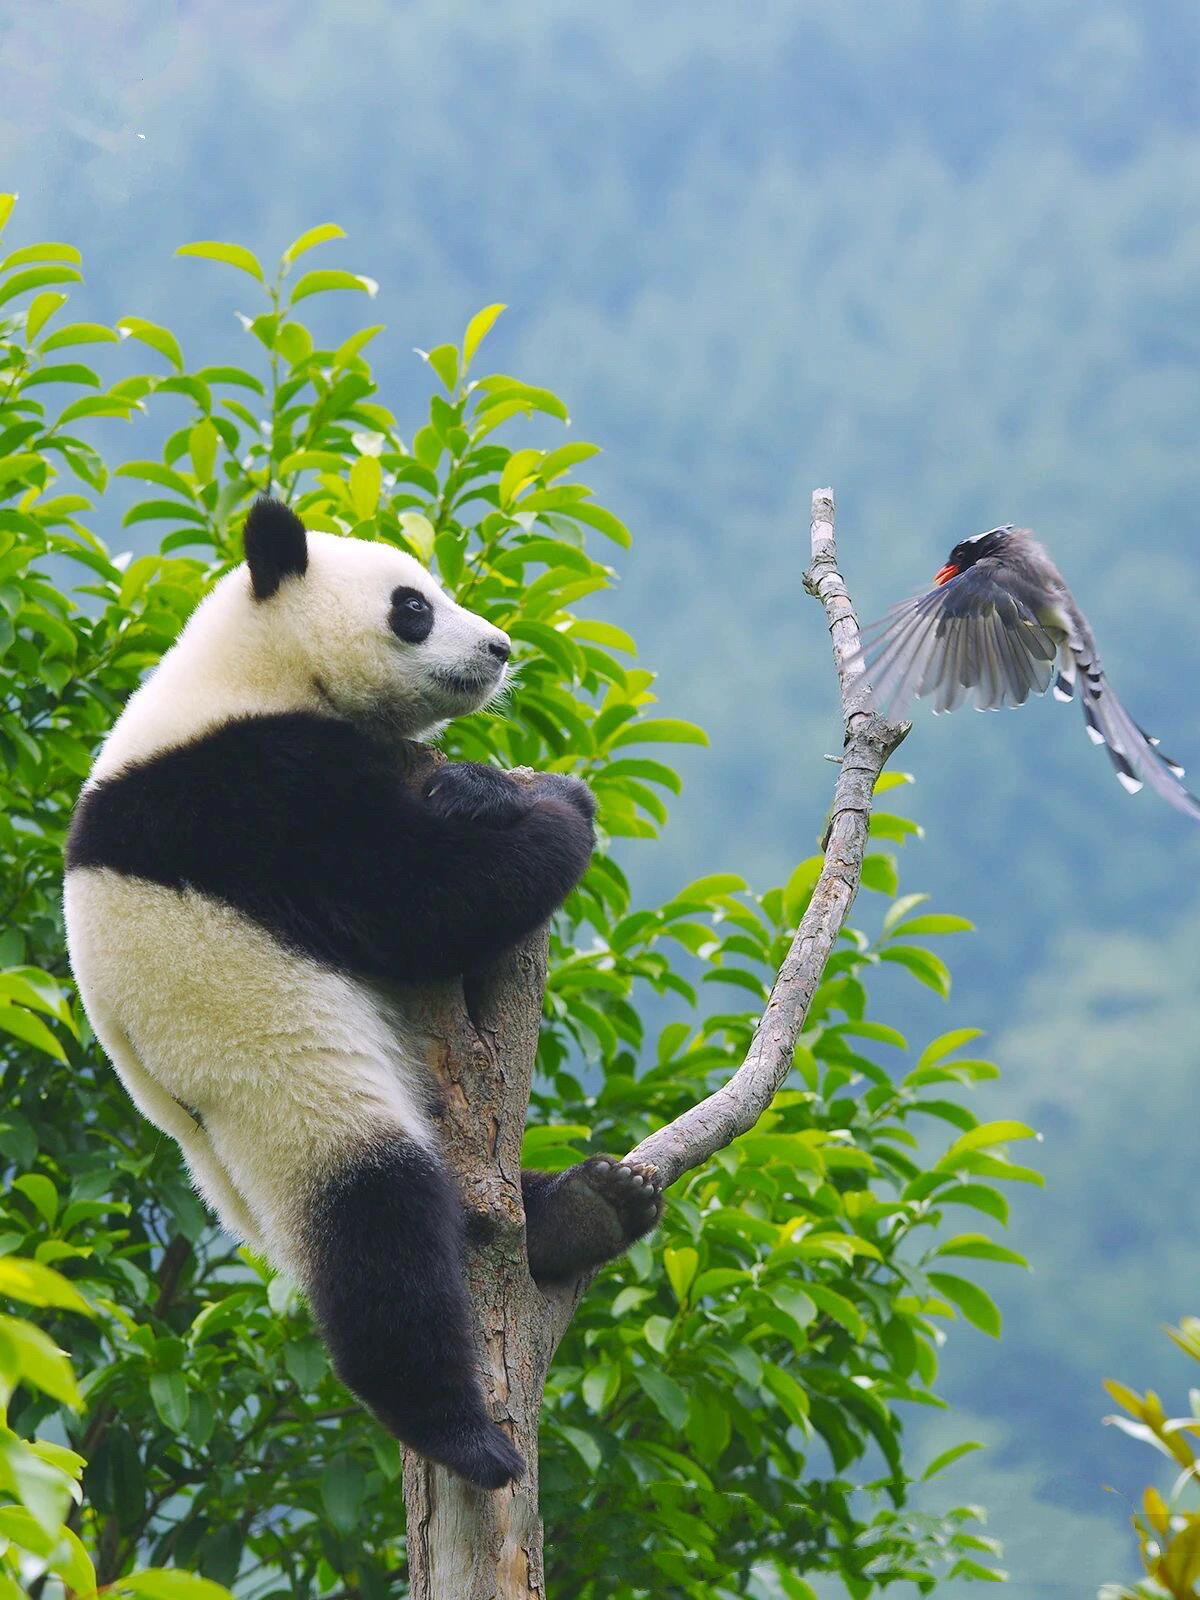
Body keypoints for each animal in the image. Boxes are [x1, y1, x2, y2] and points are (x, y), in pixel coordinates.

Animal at [63, 499, 668, 1484]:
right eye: (412, 606)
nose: (499, 647)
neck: (254, 665)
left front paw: (481, 784)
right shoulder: (245, 794)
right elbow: (418, 895)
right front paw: (558, 807)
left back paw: (590, 1207)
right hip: (276, 1076)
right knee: (376, 1223)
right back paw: (461, 1432)